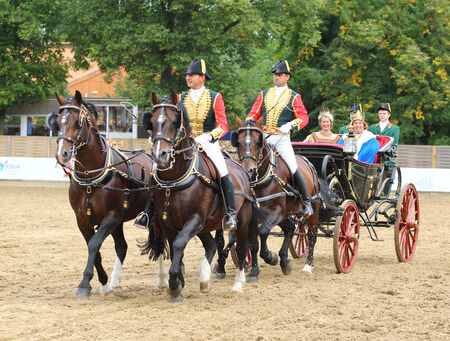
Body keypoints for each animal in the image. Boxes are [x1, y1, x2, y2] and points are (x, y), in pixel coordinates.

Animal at [50, 89, 156, 294]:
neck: (91, 178)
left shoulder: (111, 217)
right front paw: (104, 282)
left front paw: (84, 283)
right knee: (122, 246)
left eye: (78, 122)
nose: (62, 154)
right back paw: (115, 281)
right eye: (58, 121)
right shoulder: (82, 220)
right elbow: (94, 248)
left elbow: (94, 244)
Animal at [145, 91, 253, 302]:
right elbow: (175, 247)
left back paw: (238, 285)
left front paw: (174, 283)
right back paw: (204, 278)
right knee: (211, 244)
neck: (175, 179)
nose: (160, 155)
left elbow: (179, 244)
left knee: (243, 248)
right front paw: (177, 283)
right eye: (152, 122)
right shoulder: (167, 221)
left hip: (241, 221)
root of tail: (242, 168)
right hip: (206, 224)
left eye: (174, 121)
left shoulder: (195, 218)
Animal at [232, 117, 324, 278]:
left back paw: (307, 266)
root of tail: (308, 162)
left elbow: (263, 232)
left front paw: (270, 257)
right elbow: (253, 243)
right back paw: (285, 261)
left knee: (312, 235)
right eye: (239, 142)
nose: (249, 170)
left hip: (313, 209)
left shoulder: (276, 211)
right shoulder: (253, 216)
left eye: (258, 142)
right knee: (290, 228)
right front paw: (254, 271)